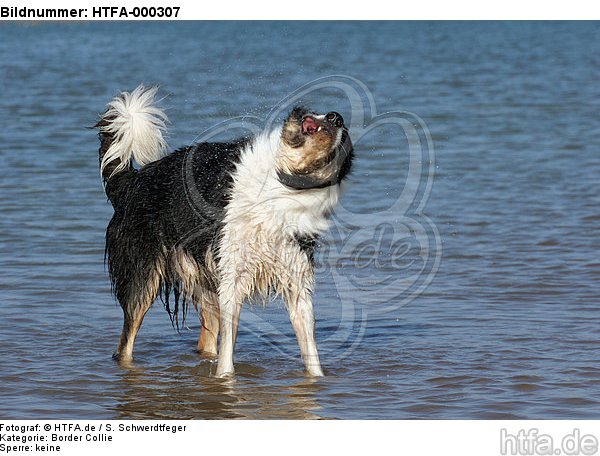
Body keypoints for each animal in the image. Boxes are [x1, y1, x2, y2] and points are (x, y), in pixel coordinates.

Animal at [96, 86, 354, 378]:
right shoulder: (233, 277)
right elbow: (228, 350)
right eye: (314, 118)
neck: (282, 184)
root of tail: (132, 182)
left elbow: (310, 350)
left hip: (202, 279)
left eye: (343, 145)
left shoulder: (296, 278)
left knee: (206, 339)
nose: (337, 116)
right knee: (125, 344)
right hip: (143, 280)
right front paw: (226, 379)